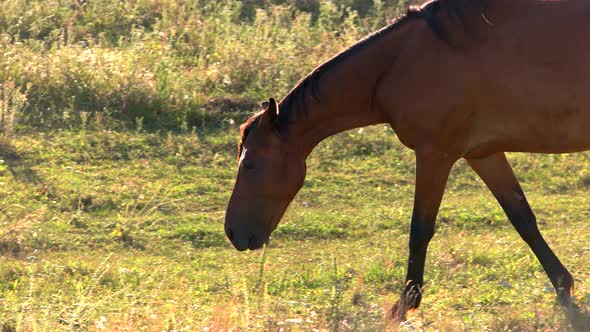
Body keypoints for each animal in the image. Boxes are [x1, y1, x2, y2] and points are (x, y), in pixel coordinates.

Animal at [225, 0, 590, 322]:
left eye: (249, 164)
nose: (232, 233)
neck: (400, 62)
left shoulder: (434, 155)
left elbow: (420, 230)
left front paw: (405, 304)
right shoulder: (483, 154)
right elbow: (523, 219)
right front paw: (563, 288)